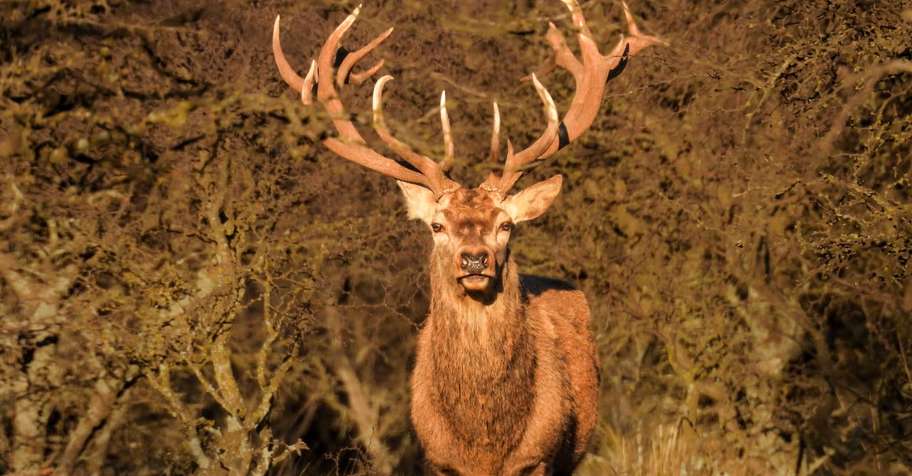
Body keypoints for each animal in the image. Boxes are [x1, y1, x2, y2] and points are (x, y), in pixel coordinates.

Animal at [272, 1, 663, 474]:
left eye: (506, 225)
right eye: (437, 225)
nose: (475, 260)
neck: (484, 442)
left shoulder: (540, 455)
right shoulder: (438, 457)